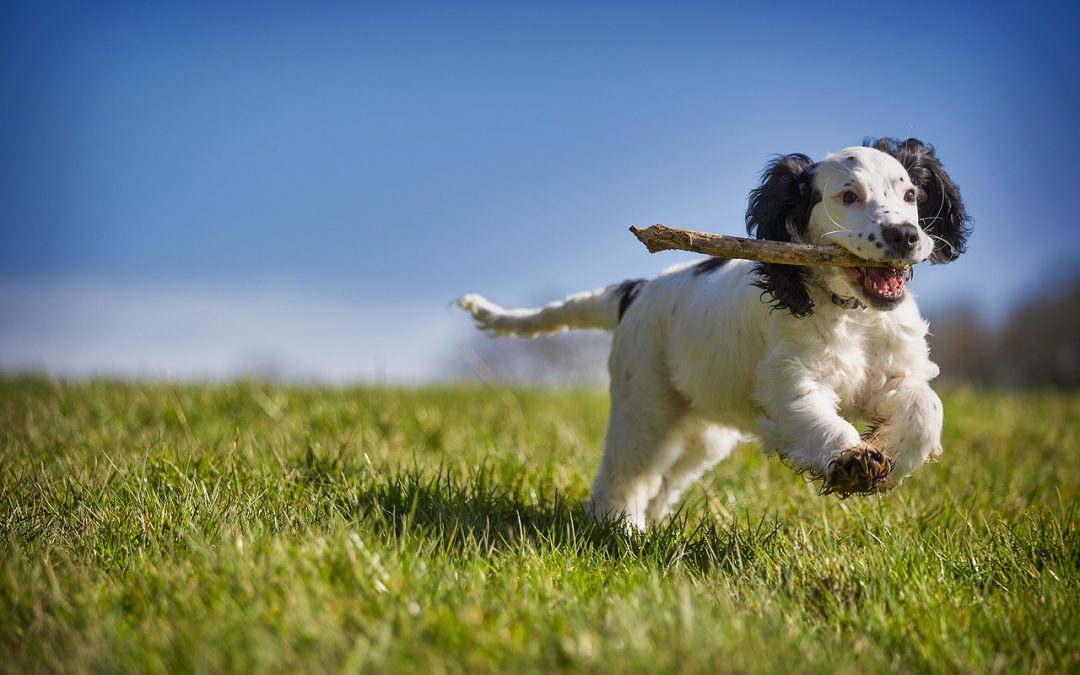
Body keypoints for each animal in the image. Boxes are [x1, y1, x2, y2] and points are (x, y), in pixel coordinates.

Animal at [457, 135, 972, 527]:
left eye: (910, 196)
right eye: (848, 197)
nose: (907, 236)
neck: (851, 313)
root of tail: (637, 290)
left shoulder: (896, 373)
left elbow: (926, 409)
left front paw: (887, 455)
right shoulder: (789, 384)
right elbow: (818, 419)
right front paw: (851, 461)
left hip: (703, 432)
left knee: (665, 480)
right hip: (644, 403)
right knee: (625, 472)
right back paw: (619, 528)